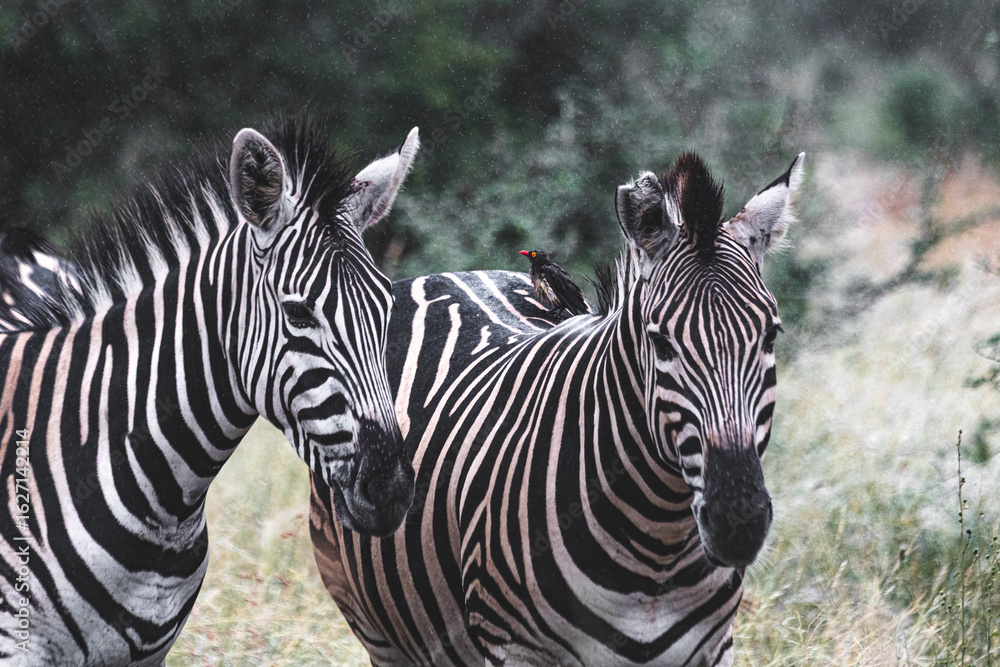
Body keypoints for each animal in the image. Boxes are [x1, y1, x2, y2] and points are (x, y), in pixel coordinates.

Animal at [309, 151, 805, 666]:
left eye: (770, 335)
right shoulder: (513, 648)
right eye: (659, 342)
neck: (657, 547)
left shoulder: (712, 648)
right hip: (380, 633)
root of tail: (455, 273)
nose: (738, 522)